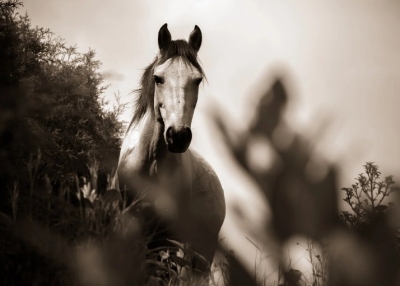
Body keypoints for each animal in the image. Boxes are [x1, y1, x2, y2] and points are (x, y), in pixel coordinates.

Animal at [115, 24, 227, 272]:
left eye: (197, 80)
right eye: (158, 78)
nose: (178, 136)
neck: (151, 163)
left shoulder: (166, 236)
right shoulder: (129, 221)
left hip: (199, 253)